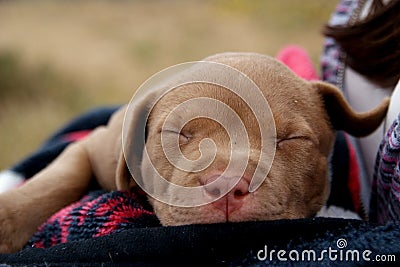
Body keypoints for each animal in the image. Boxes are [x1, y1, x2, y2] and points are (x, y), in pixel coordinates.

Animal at [0, 52, 390, 253]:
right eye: (179, 133)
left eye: (291, 139)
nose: (227, 186)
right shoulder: (96, 144)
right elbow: (61, 177)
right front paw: (9, 216)